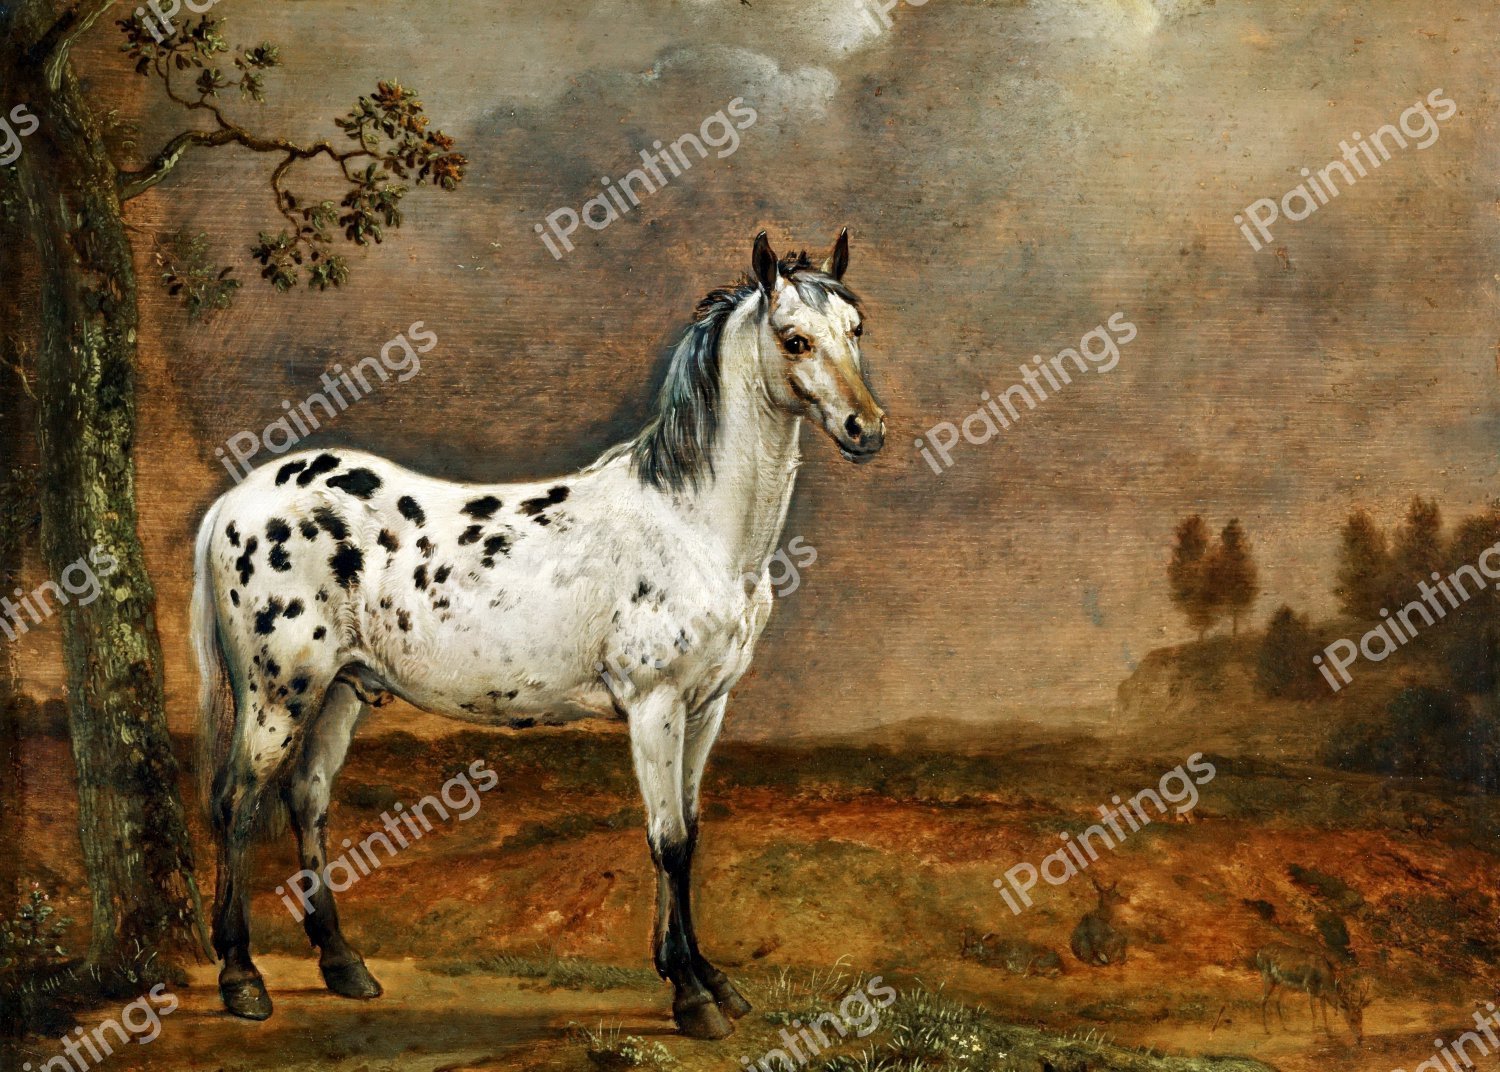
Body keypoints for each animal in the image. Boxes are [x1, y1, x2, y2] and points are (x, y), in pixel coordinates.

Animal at [190, 229, 886, 1039]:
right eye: (794, 338)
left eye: (857, 329)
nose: (867, 429)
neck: (693, 524)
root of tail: (235, 501)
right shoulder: (654, 707)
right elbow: (667, 840)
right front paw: (691, 997)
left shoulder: (708, 707)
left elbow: (689, 833)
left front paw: (706, 977)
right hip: (278, 694)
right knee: (236, 802)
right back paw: (241, 978)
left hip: (342, 689)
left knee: (308, 799)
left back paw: (343, 965)